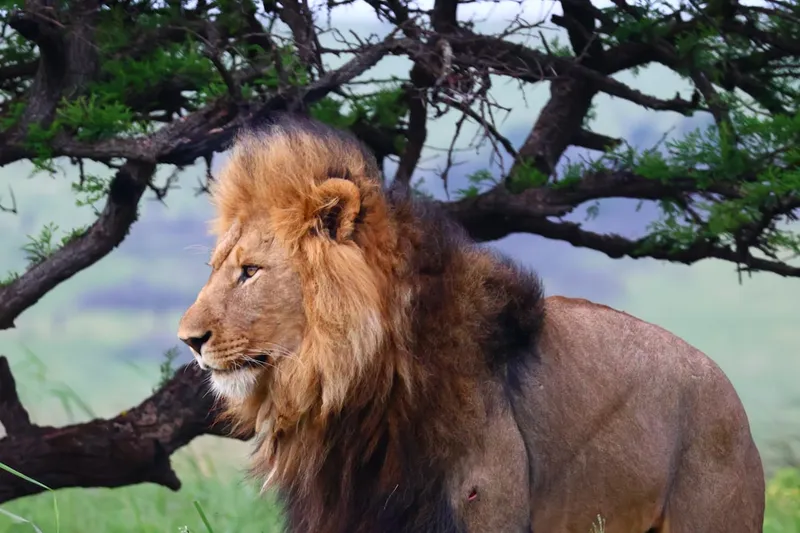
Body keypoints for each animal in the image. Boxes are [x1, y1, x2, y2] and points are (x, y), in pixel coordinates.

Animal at [177, 115, 765, 533]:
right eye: (217, 268)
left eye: (250, 272)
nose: (188, 340)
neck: (359, 389)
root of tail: (730, 395)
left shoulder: (481, 504)